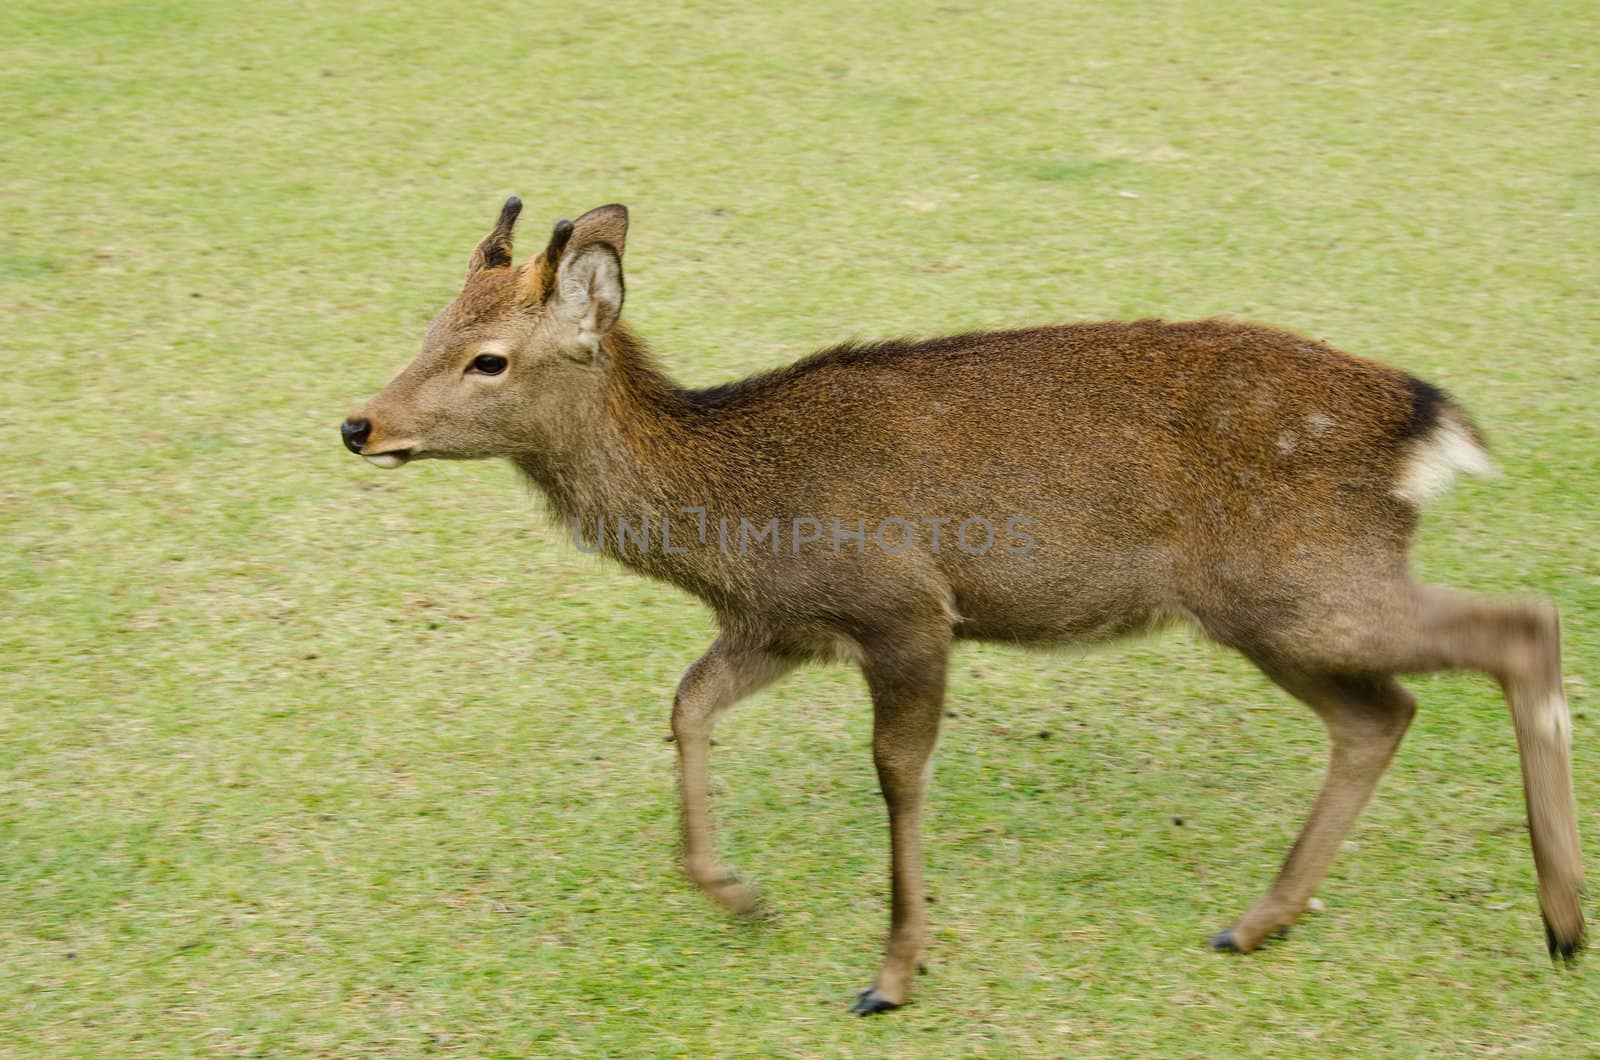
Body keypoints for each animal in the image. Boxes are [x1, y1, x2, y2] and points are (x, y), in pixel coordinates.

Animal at [340, 195, 1587, 1018]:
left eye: (489, 358)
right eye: (431, 330)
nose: (360, 422)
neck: (731, 522)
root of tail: (1425, 423)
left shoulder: (903, 605)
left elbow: (897, 771)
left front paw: (891, 973)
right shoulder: (787, 623)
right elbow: (687, 703)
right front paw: (739, 896)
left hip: (1302, 583)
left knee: (1517, 627)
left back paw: (1563, 919)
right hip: (1270, 605)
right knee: (1380, 713)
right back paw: (1257, 919)